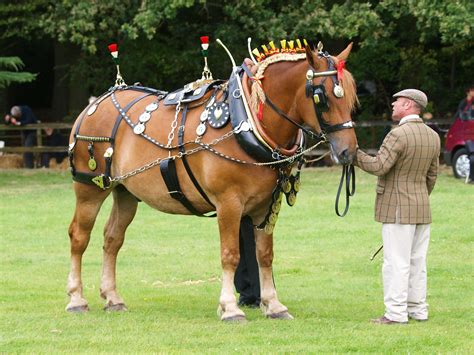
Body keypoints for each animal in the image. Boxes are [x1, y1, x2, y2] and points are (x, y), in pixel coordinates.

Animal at [65, 43, 358, 322]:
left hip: (125, 192)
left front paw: (273, 305)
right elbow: (230, 254)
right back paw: (76, 299)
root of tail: (96, 103)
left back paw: (113, 297)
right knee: (79, 236)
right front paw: (230, 308)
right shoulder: (229, 203)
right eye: (321, 97)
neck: (248, 122)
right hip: (90, 188)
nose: (348, 152)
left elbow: (265, 255)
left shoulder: (266, 205)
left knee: (112, 239)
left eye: (351, 98)